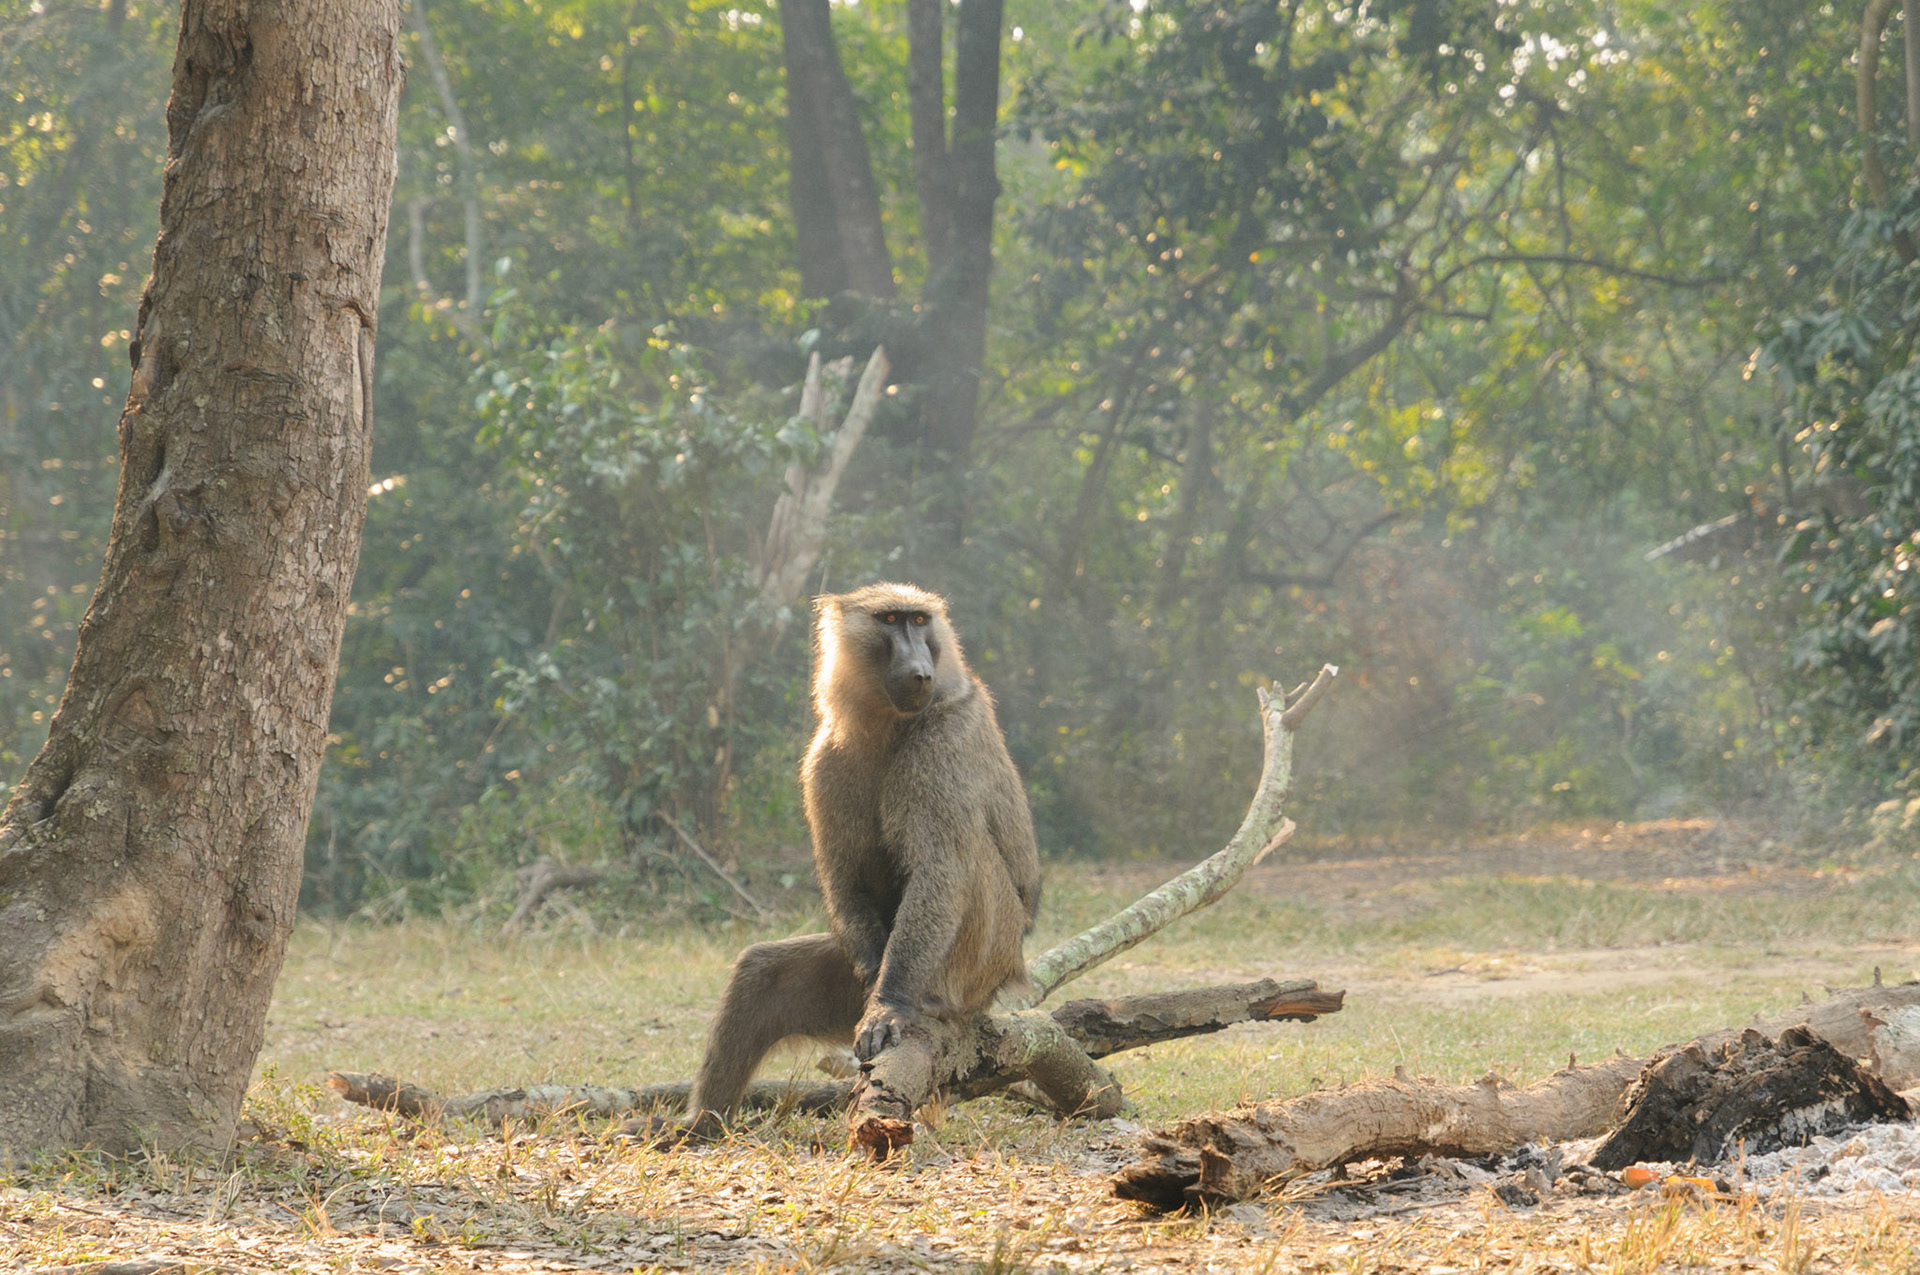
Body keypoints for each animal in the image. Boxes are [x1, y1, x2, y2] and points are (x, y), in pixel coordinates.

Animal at [673, 582, 1041, 1135]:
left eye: (920, 621)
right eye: (890, 620)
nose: (920, 671)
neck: (886, 722)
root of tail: (1009, 969)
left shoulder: (945, 740)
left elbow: (937, 871)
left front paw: (889, 1003)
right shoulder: (825, 755)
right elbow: (846, 880)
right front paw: (875, 986)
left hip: (981, 961)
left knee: (964, 857)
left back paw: (926, 1000)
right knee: (760, 976)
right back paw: (699, 1128)